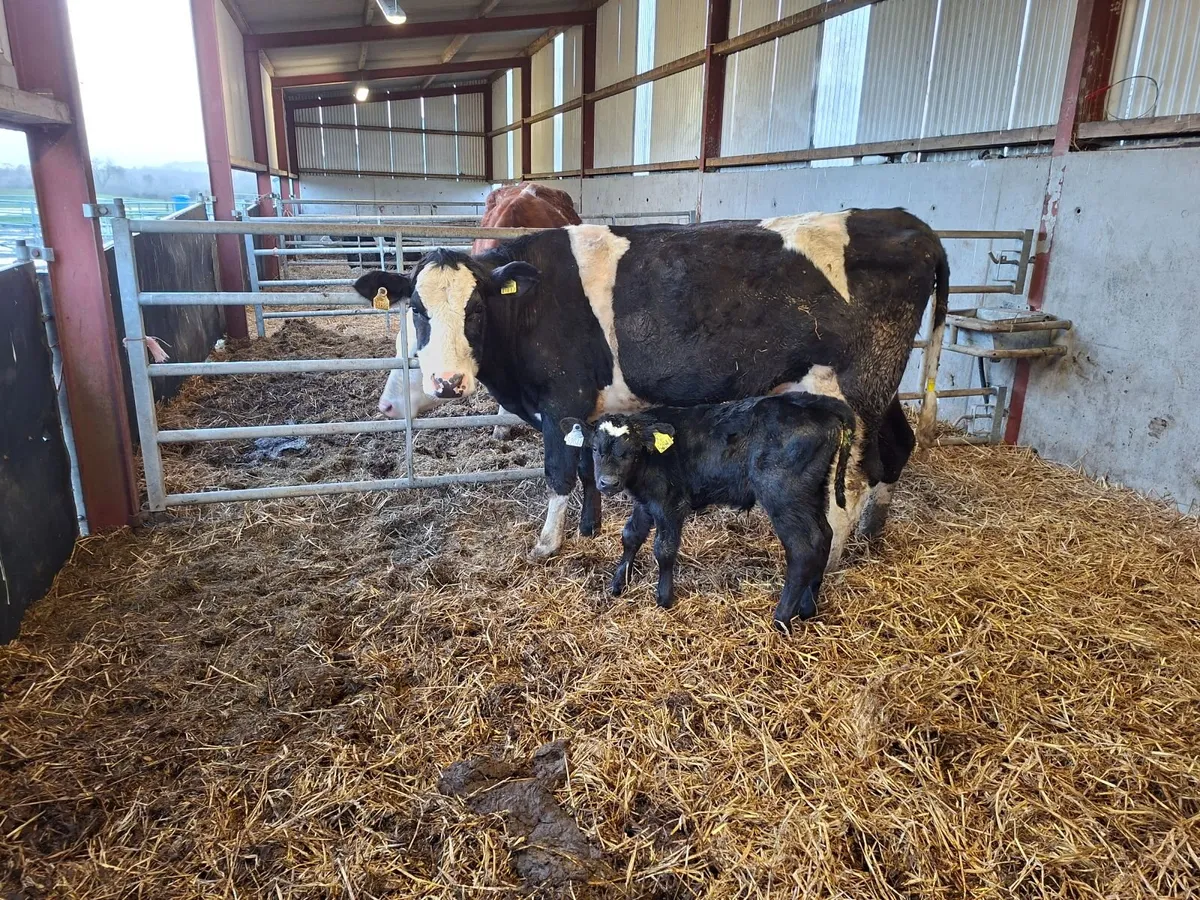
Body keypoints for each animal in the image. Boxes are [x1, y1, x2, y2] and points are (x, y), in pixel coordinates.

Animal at [360, 209, 949, 563]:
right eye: (417, 311)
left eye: (476, 310)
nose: (447, 382)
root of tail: (906, 221)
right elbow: (588, 470)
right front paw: (590, 528)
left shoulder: (561, 401)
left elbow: (559, 474)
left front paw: (546, 545)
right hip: (879, 387)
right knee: (896, 446)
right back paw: (875, 527)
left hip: (855, 392)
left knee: (852, 484)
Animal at [561, 391, 855, 631]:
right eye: (595, 449)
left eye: (631, 451)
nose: (607, 483)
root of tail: (816, 402)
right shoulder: (646, 502)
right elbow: (630, 536)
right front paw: (618, 583)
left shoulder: (670, 504)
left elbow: (664, 549)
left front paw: (663, 598)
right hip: (813, 492)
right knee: (824, 536)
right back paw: (807, 608)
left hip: (784, 496)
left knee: (804, 548)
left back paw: (781, 617)